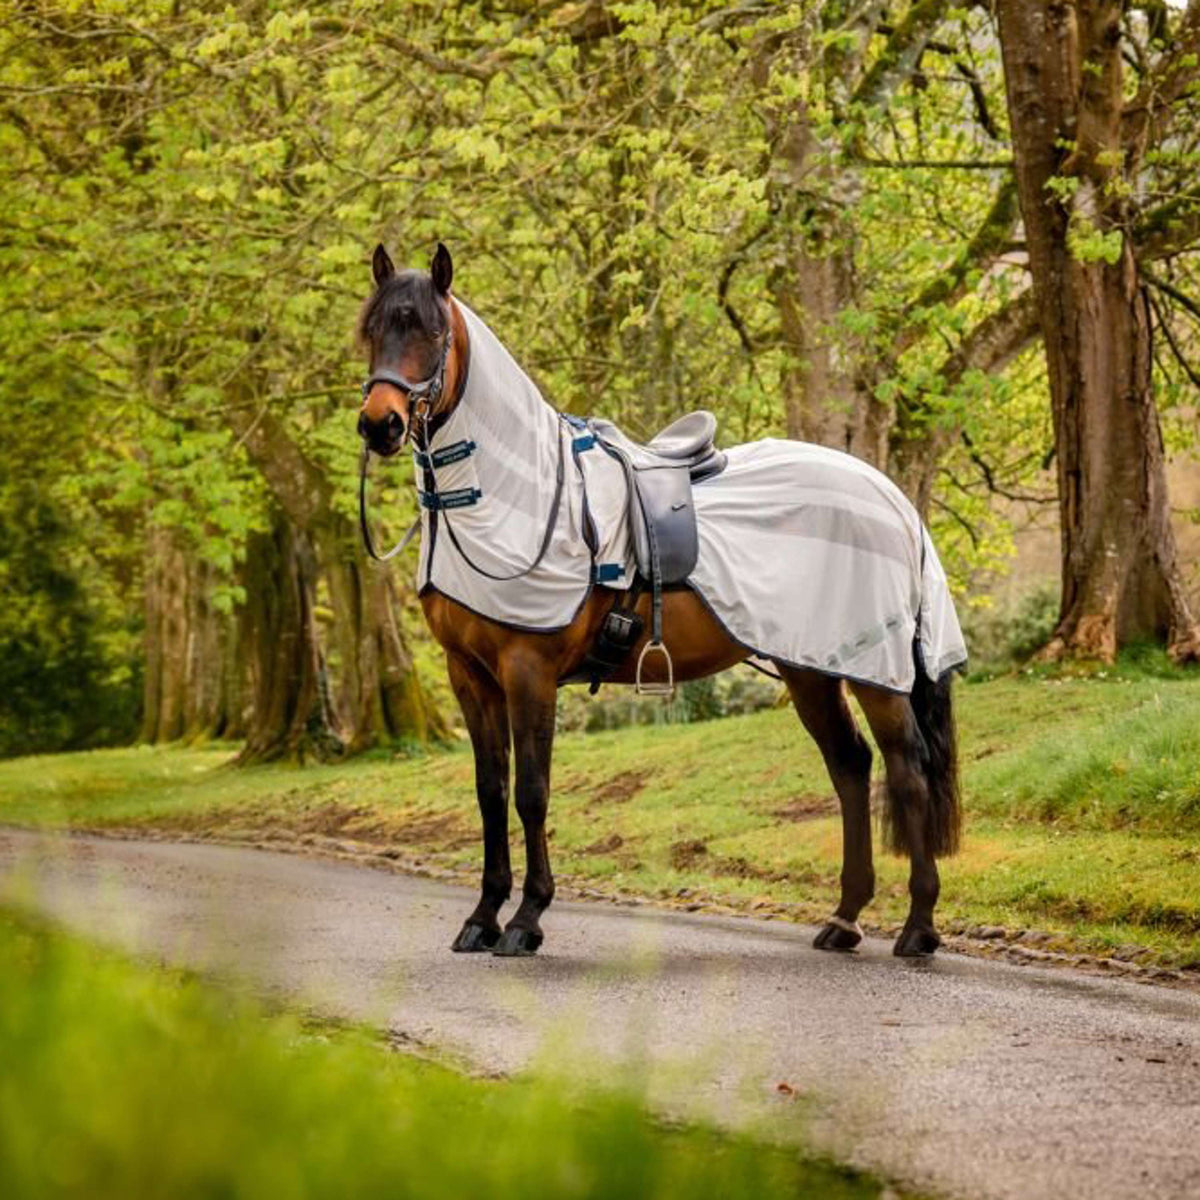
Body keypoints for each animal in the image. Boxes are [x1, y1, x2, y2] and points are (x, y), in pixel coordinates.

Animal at [350, 241, 960, 955]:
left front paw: (527, 919)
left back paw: (918, 927)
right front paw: (482, 915)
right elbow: (490, 791)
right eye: (372, 330)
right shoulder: (468, 674)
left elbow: (532, 791)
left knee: (907, 769)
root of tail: (889, 496)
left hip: (875, 673)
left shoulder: (529, 670)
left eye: (432, 332)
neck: (515, 494)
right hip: (810, 666)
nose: (380, 425)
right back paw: (844, 918)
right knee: (850, 766)